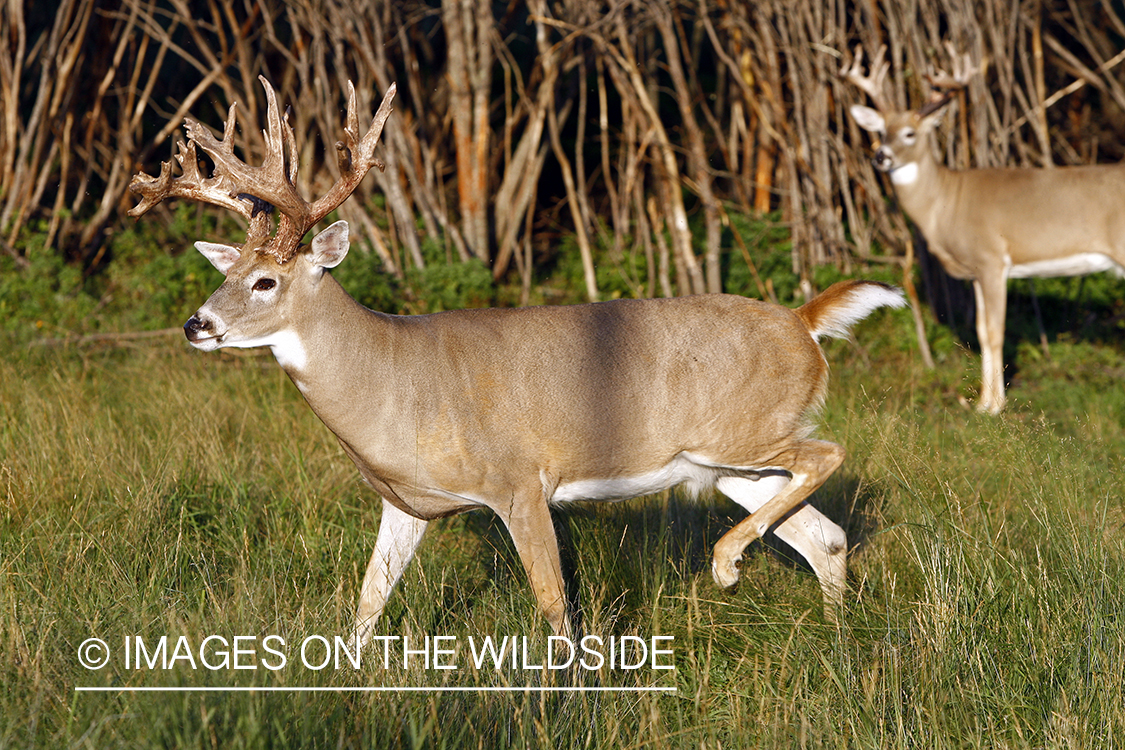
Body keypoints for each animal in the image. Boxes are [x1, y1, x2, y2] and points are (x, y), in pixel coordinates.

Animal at [129, 77, 904, 652]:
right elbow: (367, 604)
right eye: (228, 274)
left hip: (743, 431)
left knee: (829, 454)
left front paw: (571, 701)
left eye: (265, 282)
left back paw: (726, 564)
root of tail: (802, 323)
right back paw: (831, 635)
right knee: (827, 536)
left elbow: (555, 608)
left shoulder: (521, 480)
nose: (197, 325)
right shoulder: (405, 502)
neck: (390, 377)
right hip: (723, 464)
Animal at [846, 45, 1125, 416]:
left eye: (909, 133)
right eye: (881, 131)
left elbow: (995, 331)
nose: (881, 156)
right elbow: (979, 332)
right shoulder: (976, 271)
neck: (946, 203)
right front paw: (981, 404)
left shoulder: (992, 259)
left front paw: (995, 407)